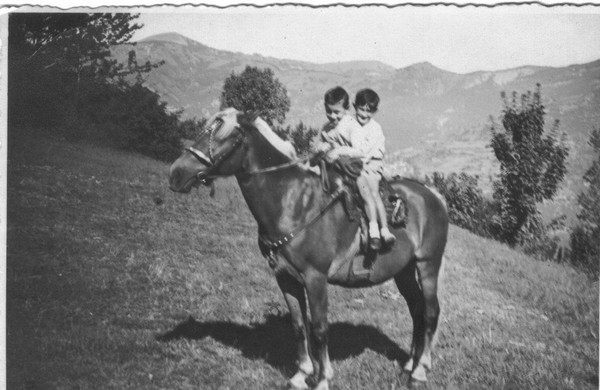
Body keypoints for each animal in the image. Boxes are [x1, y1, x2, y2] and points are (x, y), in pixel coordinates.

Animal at [166, 107, 448, 390]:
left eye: (224, 137)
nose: (176, 173)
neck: (293, 203)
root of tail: (434, 197)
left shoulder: (315, 279)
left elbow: (320, 329)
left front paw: (322, 379)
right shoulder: (285, 278)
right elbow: (299, 325)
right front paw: (302, 373)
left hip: (428, 265)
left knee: (431, 312)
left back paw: (420, 370)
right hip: (404, 271)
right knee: (417, 311)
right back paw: (409, 364)